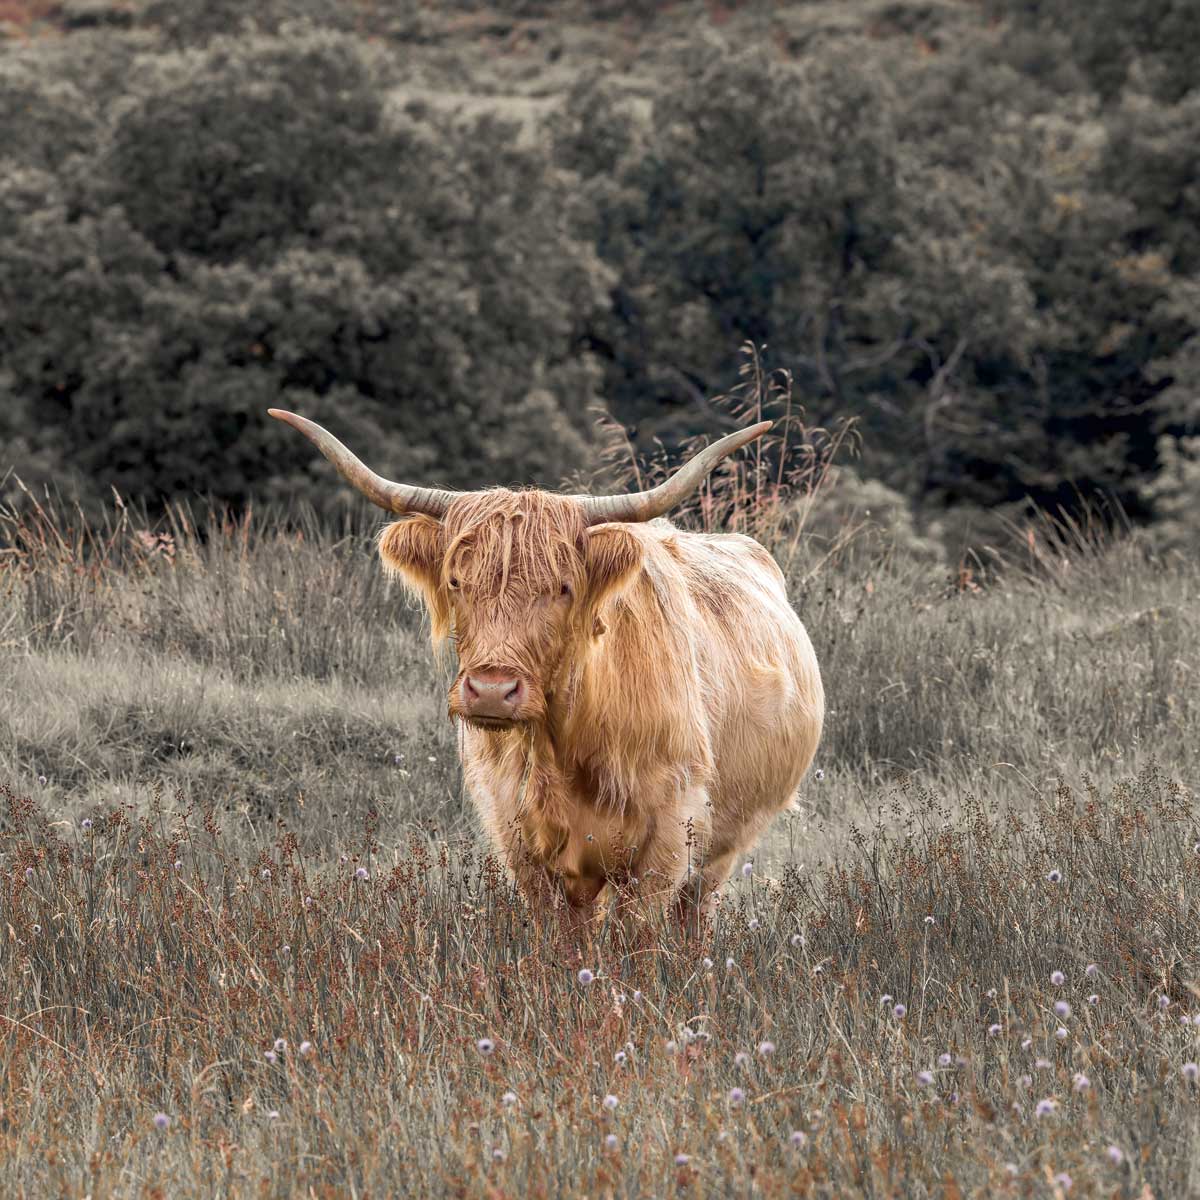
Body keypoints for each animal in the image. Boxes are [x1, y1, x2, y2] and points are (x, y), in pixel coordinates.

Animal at [270, 408, 823, 931]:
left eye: (562, 587)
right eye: (456, 582)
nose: (492, 690)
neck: (566, 744)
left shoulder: (670, 834)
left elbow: (636, 940)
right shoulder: (518, 837)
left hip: (723, 847)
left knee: (695, 916)